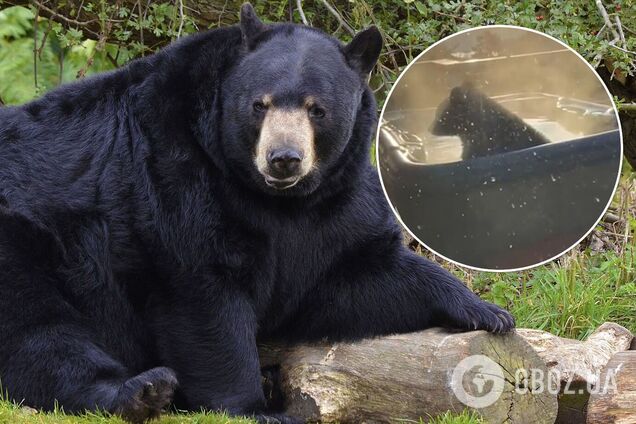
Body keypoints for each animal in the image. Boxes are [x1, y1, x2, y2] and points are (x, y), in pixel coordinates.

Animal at [0, 4, 516, 424]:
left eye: (317, 109)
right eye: (259, 104)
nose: (283, 158)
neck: (276, 199)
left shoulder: (330, 211)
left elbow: (349, 277)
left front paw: (486, 312)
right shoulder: (174, 176)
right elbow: (204, 294)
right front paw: (253, 407)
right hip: (29, 241)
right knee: (37, 332)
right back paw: (140, 390)